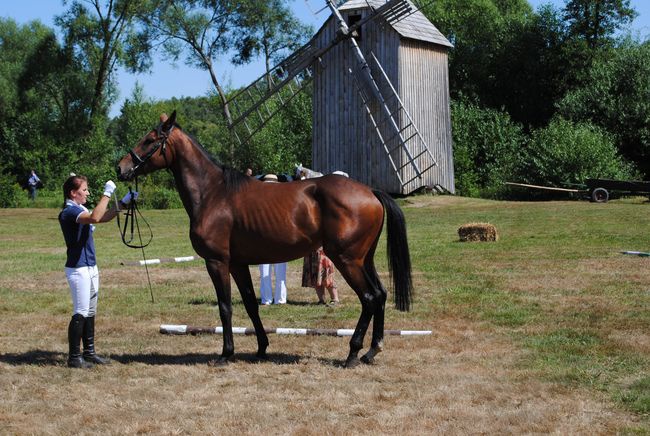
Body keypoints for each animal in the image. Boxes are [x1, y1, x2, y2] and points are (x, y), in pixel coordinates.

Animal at [116, 111, 410, 368]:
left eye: (150, 140)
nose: (121, 168)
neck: (213, 193)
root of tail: (371, 192)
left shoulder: (217, 262)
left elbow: (225, 307)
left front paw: (226, 354)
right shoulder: (238, 264)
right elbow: (250, 305)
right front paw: (261, 348)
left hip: (347, 260)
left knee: (369, 297)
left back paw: (352, 354)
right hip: (364, 259)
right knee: (381, 294)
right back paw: (372, 351)